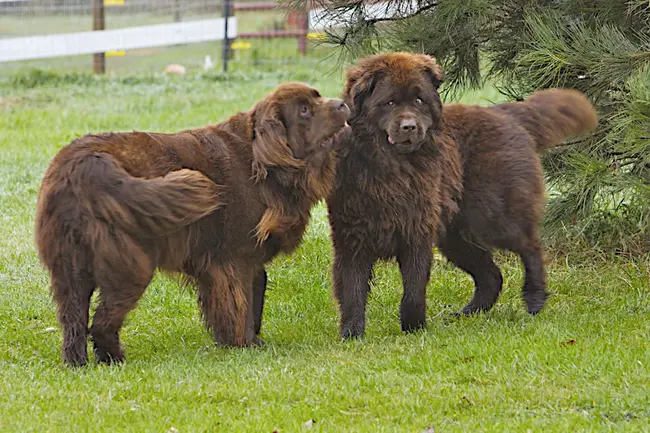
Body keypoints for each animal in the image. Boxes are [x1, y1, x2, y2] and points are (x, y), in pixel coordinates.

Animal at [34, 82, 350, 364]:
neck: (262, 164)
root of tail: (85, 164)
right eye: (304, 110)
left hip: (70, 268)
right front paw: (243, 344)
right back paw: (113, 358)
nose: (342, 104)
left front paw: (245, 340)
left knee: (73, 319)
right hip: (130, 265)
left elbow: (254, 293)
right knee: (102, 320)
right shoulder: (233, 260)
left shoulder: (242, 262)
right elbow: (241, 304)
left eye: (318, 97)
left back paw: (77, 362)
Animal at [326, 53, 596, 338]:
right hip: (456, 235)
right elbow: (352, 291)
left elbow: (413, 289)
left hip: (493, 217)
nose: (409, 127)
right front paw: (352, 335)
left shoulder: (417, 234)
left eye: (419, 100)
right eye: (389, 102)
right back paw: (468, 314)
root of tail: (504, 112)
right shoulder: (352, 240)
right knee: (491, 275)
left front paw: (414, 328)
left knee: (530, 246)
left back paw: (534, 298)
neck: (392, 170)